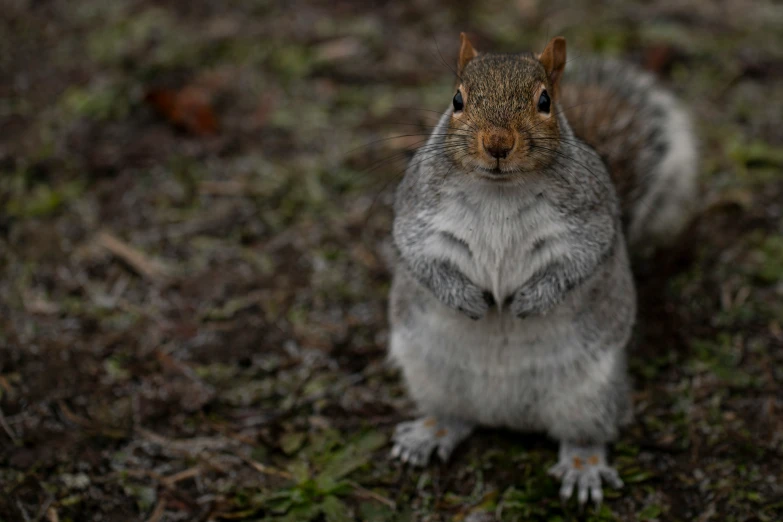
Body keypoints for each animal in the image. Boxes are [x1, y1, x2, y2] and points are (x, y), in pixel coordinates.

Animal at [386, 33, 700, 504]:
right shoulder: (416, 213)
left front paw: (529, 303)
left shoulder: (591, 219)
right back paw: (430, 433)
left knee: (585, 433)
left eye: (545, 101)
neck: (499, 190)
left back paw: (583, 466)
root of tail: (505, 413)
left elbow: (580, 259)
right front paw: (468, 300)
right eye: (457, 99)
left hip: (589, 395)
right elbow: (418, 254)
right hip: (429, 375)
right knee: (455, 415)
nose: (498, 143)